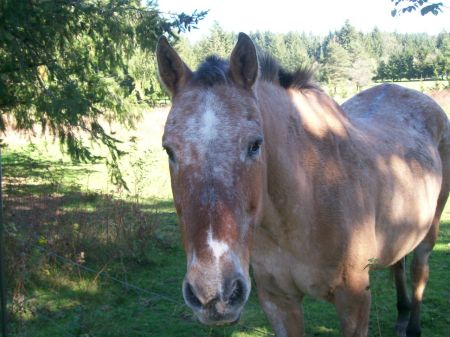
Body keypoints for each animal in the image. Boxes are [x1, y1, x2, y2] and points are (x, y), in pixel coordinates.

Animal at [156, 33, 450, 336]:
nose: (214, 294)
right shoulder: (278, 301)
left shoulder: (354, 301)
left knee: (418, 270)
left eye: (255, 144)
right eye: (169, 150)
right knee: (398, 264)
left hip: (430, 230)